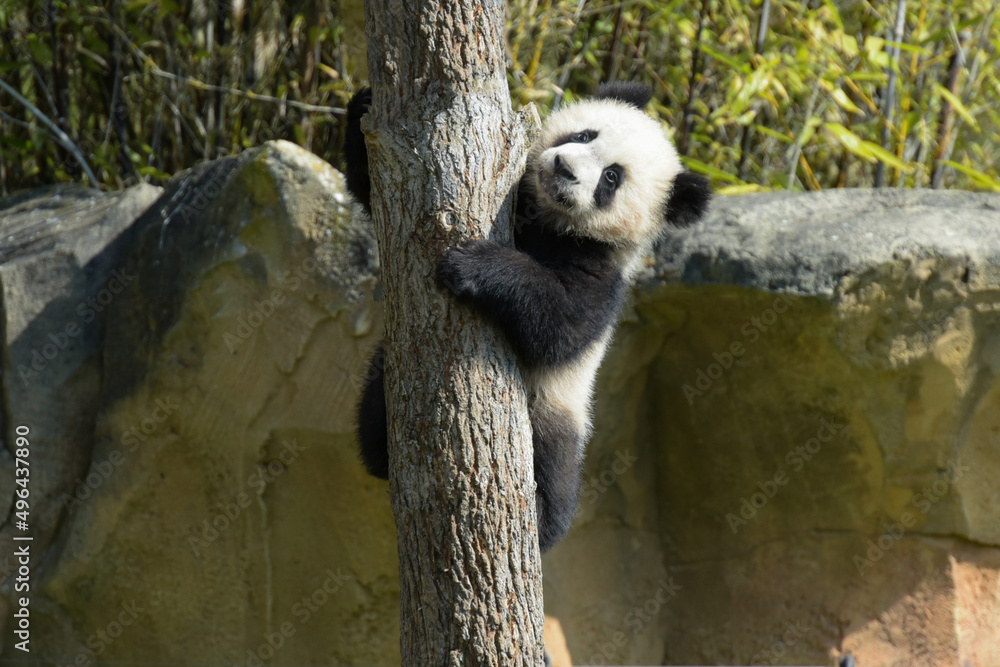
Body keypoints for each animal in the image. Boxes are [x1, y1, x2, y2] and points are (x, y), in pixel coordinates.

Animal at [347, 82, 710, 552]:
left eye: (612, 177)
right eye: (586, 134)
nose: (564, 168)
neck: (550, 221)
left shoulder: (601, 273)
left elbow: (559, 325)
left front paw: (475, 265)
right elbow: (372, 193)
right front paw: (362, 104)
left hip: (558, 409)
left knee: (557, 471)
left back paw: (540, 520)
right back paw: (381, 442)